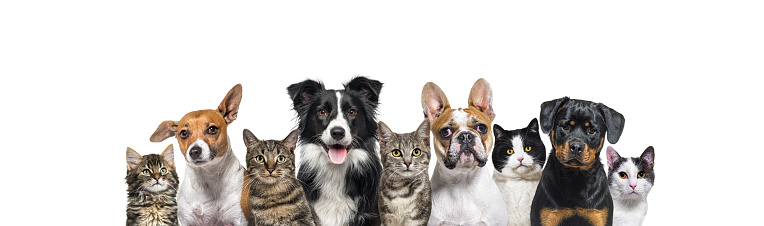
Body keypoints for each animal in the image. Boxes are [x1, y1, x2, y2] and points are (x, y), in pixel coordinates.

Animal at [148, 84, 246, 225]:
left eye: (212, 129)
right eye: (183, 133)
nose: (194, 151)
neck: (207, 177)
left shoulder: (239, 219)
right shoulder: (187, 220)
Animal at [532, 96, 628, 225]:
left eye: (592, 130)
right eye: (565, 127)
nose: (576, 146)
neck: (575, 177)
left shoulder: (599, 216)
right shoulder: (547, 217)